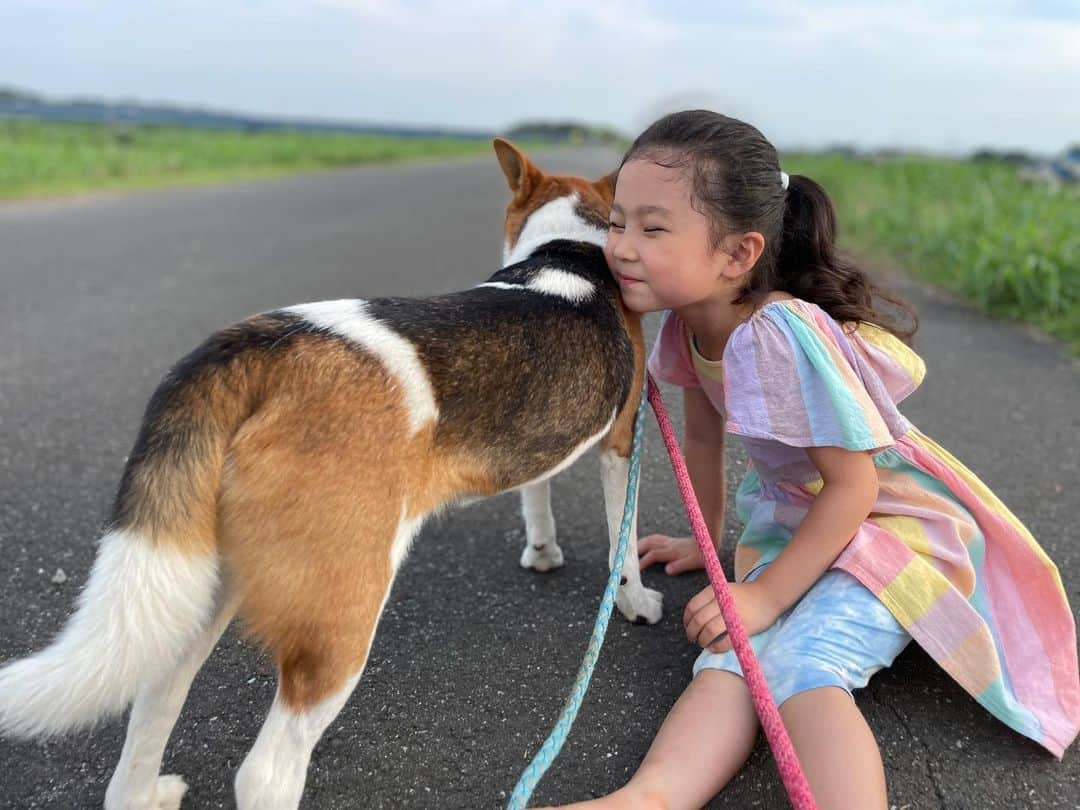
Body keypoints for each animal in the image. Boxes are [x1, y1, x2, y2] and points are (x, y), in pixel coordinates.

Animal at [0, 141, 665, 810]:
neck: (567, 251)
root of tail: (261, 351)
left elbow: (537, 494)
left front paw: (543, 552)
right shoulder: (622, 445)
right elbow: (623, 541)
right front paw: (634, 601)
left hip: (198, 588)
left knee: (154, 698)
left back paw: (143, 791)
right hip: (342, 618)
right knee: (266, 772)